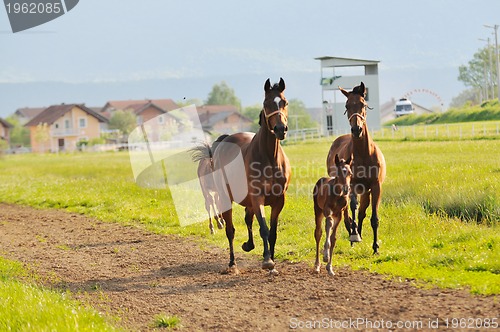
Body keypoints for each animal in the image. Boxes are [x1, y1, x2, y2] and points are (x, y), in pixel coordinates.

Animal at [212, 78, 292, 274]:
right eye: (266, 103)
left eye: (284, 102)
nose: (281, 129)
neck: (270, 158)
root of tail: (225, 140)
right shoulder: (258, 198)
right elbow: (263, 228)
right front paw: (267, 260)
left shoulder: (279, 200)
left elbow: (272, 232)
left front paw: (272, 263)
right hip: (226, 197)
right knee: (230, 230)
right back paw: (232, 263)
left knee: (247, 220)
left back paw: (249, 245)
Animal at [324, 81, 386, 253]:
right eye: (347, 105)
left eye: (363, 103)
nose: (356, 129)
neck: (364, 153)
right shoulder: (351, 184)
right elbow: (352, 206)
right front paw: (354, 234)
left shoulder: (375, 186)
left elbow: (372, 216)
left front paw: (375, 246)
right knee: (347, 209)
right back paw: (351, 229)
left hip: (365, 190)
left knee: (362, 211)